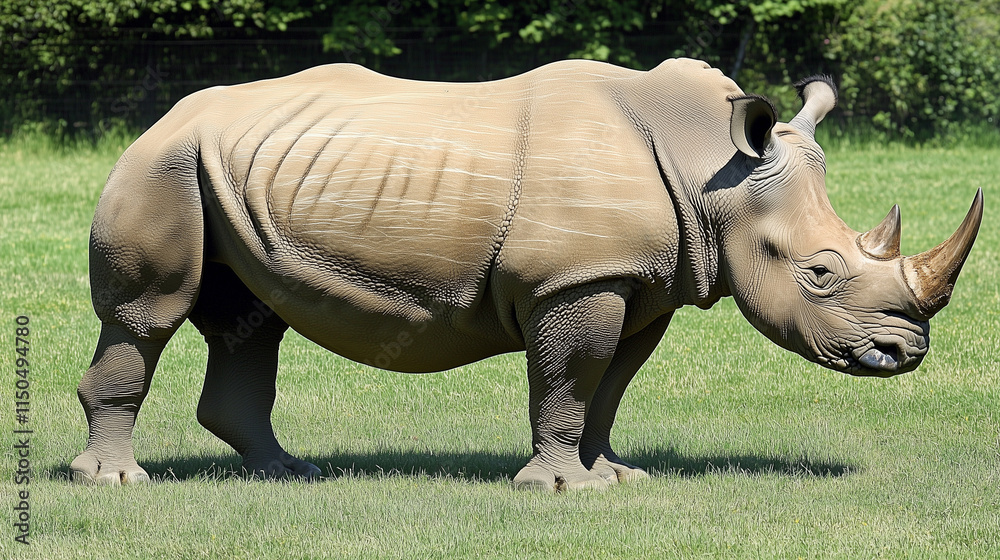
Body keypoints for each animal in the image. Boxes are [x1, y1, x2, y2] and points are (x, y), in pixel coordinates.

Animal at [71, 57, 983, 490]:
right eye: (821, 271)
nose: (904, 355)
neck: (712, 172)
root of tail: (163, 115)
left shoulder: (640, 279)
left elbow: (611, 383)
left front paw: (613, 474)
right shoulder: (575, 278)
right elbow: (571, 376)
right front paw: (564, 489)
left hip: (225, 167)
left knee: (249, 320)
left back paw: (286, 472)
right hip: (165, 162)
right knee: (151, 315)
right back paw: (116, 481)